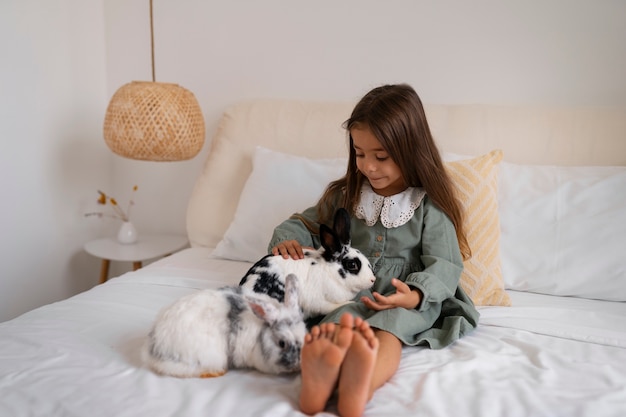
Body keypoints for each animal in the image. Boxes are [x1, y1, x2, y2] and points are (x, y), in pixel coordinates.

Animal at [239, 206, 376, 316]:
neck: (328, 271)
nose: (373, 279)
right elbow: (330, 307)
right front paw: (349, 303)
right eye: (352, 265)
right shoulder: (317, 301)